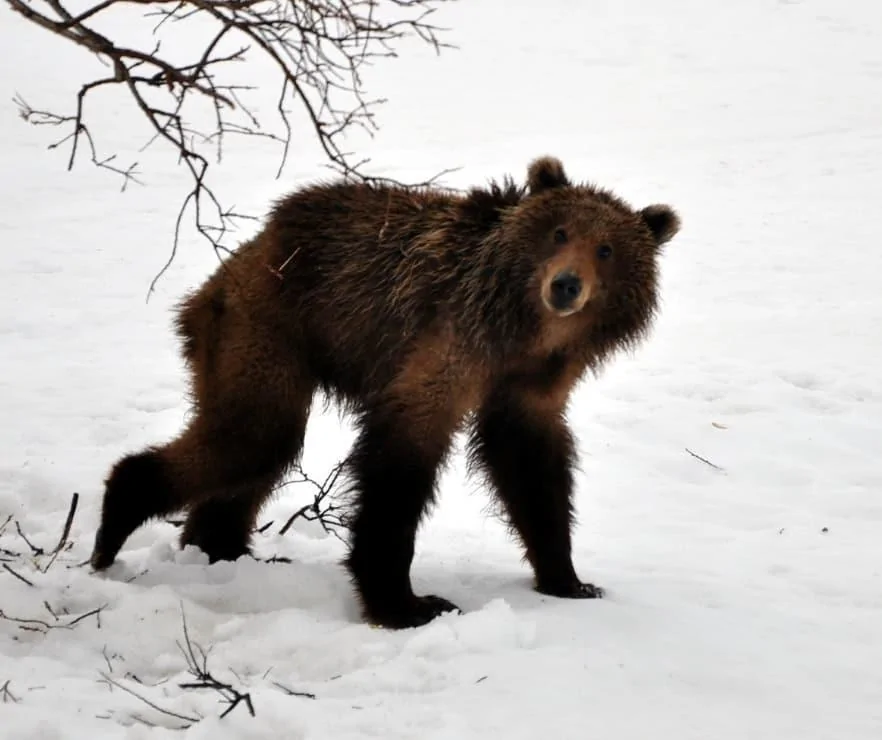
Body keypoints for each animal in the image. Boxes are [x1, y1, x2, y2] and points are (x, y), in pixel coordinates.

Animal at [89, 156, 681, 629]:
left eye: (606, 248)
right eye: (558, 233)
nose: (565, 285)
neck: (524, 330)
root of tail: (242, 255)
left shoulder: (531, 382)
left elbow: (531, 467)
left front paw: (570, 578)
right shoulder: (450, 341)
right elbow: (400, 462)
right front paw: (407, 603)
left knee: (256, 451)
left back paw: (224, 549)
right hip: (266, 326)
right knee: (253, 435)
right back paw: (115, 525)